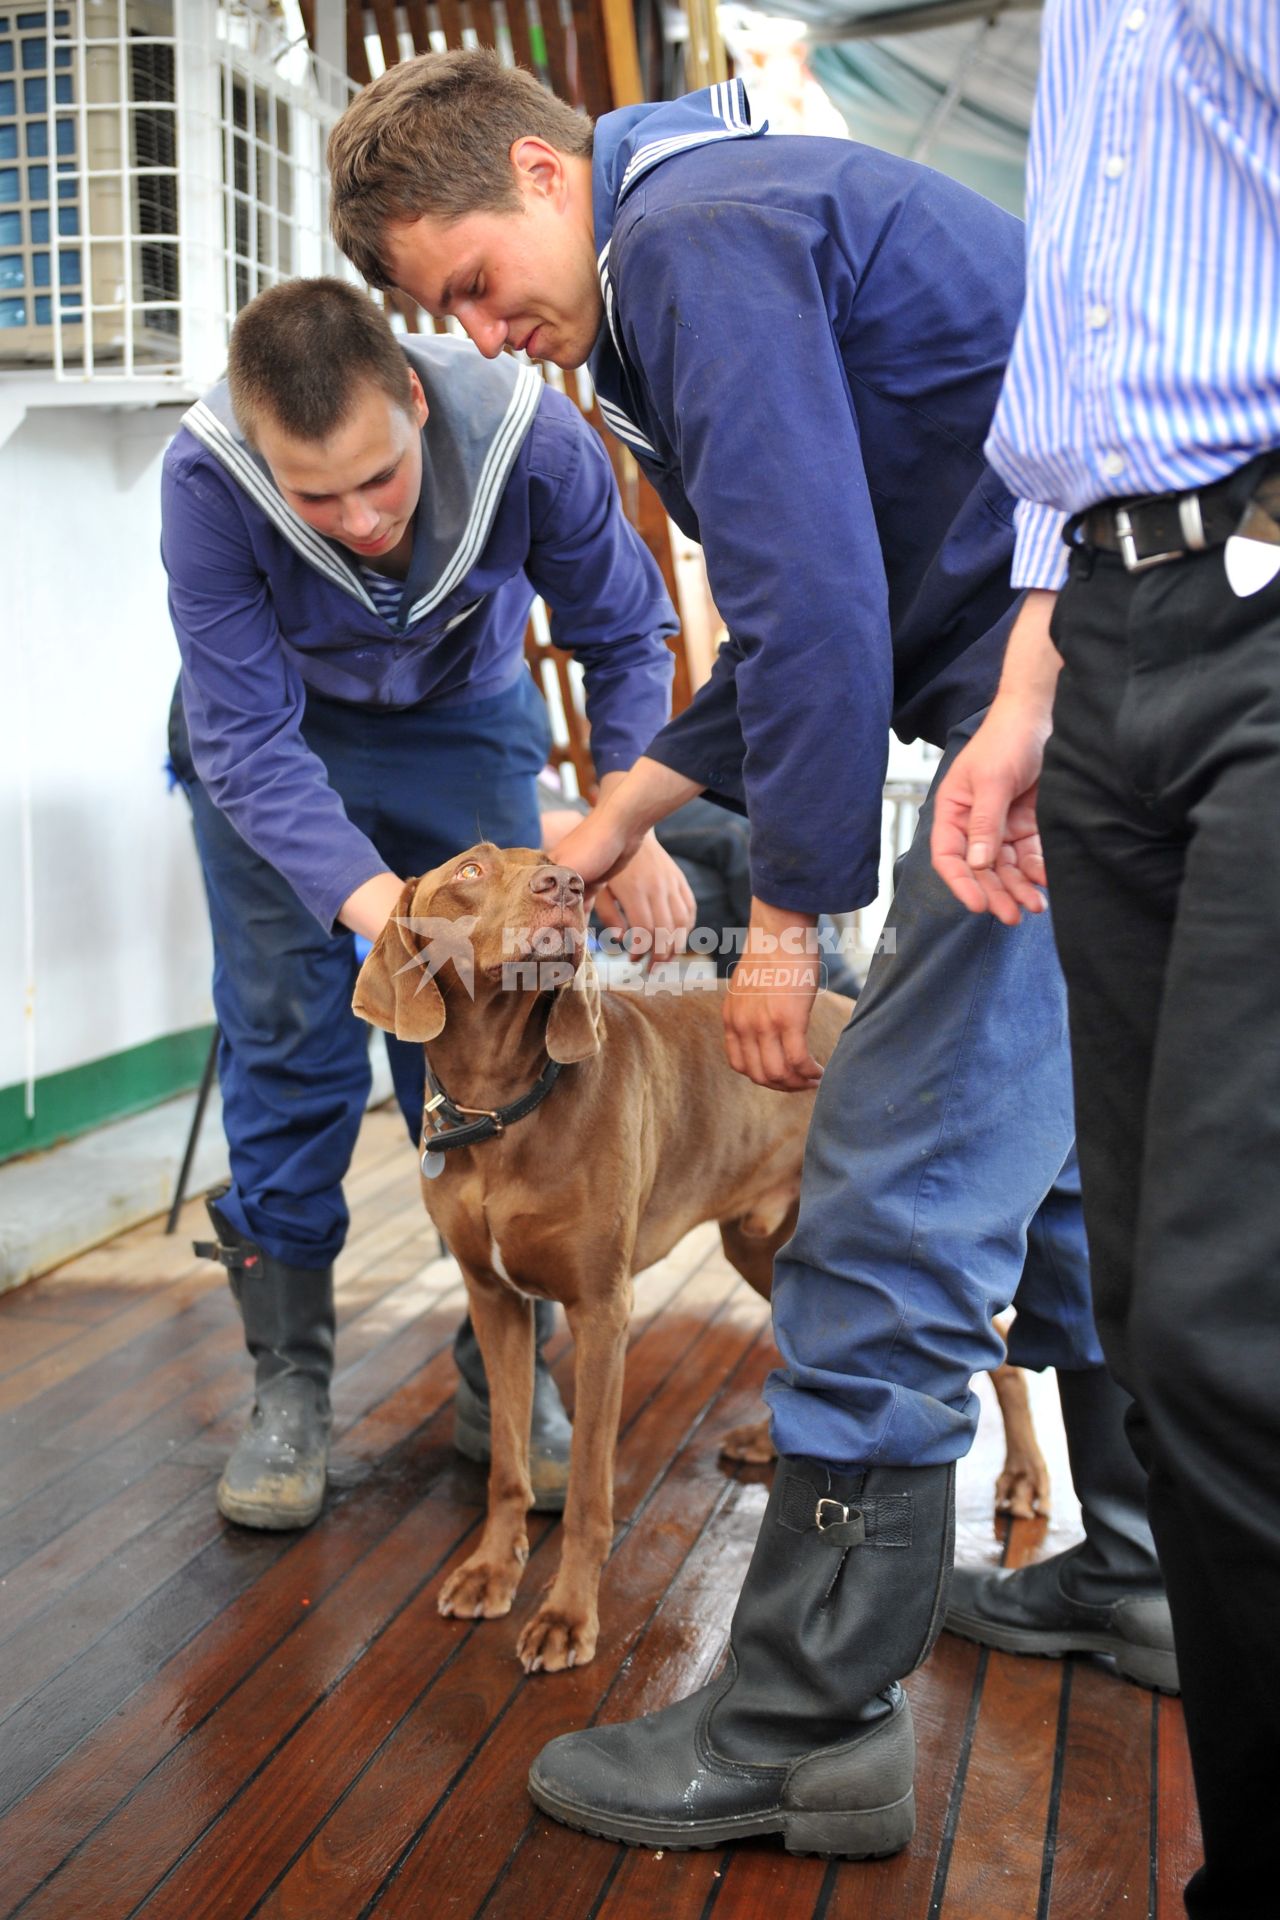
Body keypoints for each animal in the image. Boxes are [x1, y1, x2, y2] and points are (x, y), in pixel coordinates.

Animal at [355, 840, 1043, 1666]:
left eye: (549, 860)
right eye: (468, 872)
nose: (569, 884)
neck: (501, 1112)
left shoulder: (602, 1311)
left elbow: (588, 1493)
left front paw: (568, 1614)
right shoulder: (495, 1301)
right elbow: (506, 1467)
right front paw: (492, 1568)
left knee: (997, 1352)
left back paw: (1025, 1476)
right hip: (763, 1247)